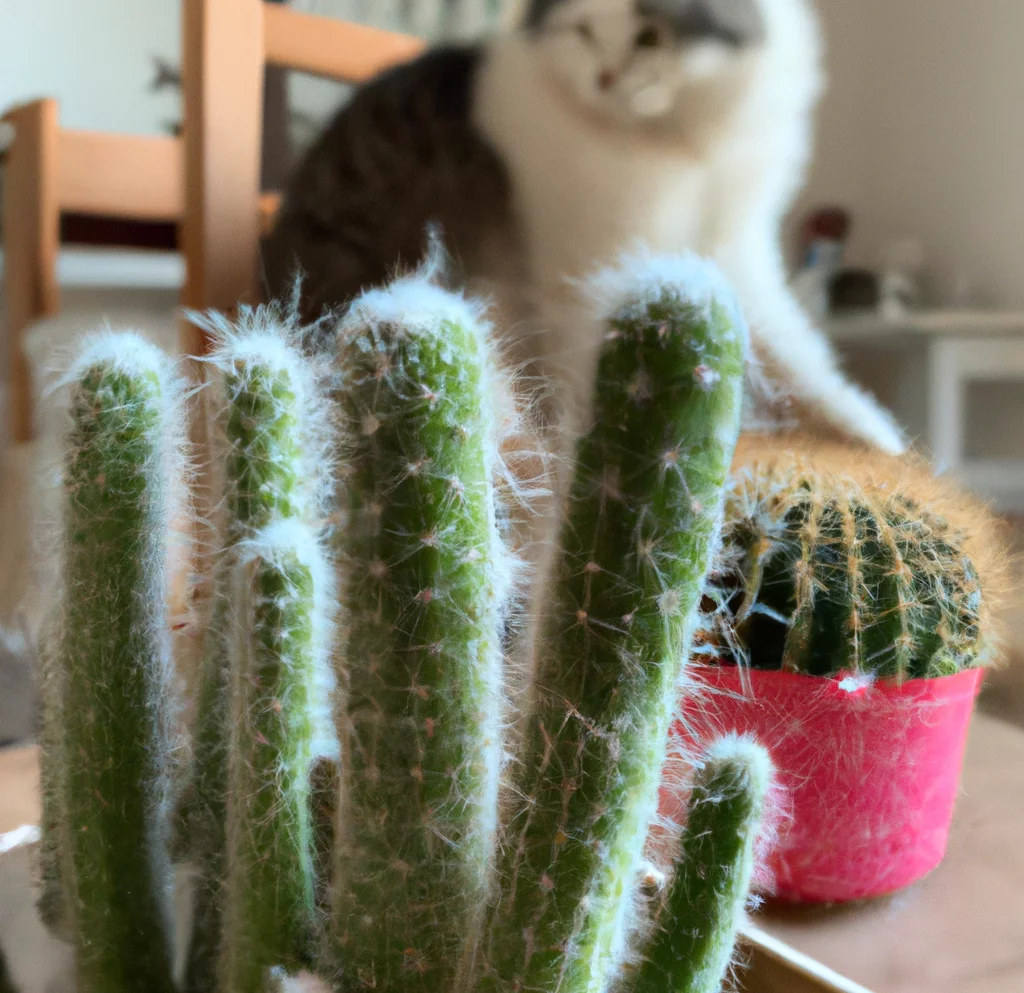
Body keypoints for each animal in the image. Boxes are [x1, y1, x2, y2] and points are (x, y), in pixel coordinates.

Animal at [262, 0, 905, 454]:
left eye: (650, 36)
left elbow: (799, 354)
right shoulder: (587, 266)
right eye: (585, 32)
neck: (673, 145)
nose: (605, 79)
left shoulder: (733, 248)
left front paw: (870, 433)